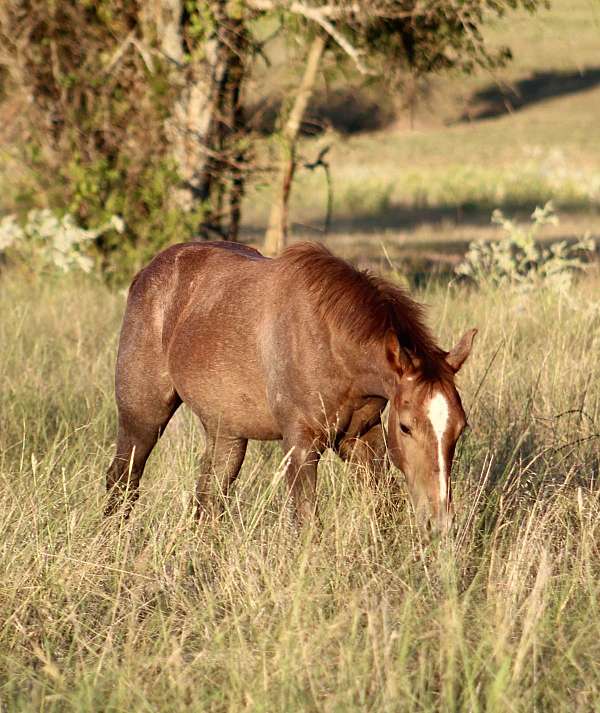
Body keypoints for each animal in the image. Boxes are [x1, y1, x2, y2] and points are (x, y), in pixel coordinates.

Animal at [105, 241, 476, 528]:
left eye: (459, 429)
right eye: (405, 427)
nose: (440, 521)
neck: (329, 340)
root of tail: (147, 273)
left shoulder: (361, 438)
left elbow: (385, 508)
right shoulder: (300, 445)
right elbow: (308, 521)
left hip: (227, 434)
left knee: (208, 499)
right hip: (143, 420)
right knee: (122, 480)